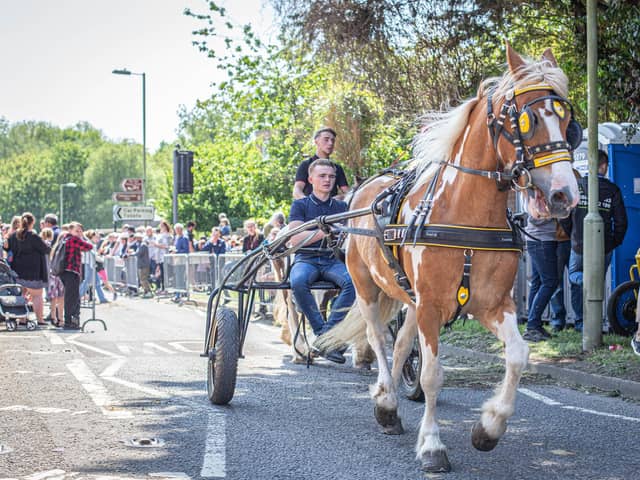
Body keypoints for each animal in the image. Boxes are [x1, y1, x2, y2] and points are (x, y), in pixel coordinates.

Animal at [318, 42, 584, 472]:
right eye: (526, 120)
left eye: (566, 119)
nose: (565, 194)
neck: (464, 211)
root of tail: (365, 187)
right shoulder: (431, 307)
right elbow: (432, 375)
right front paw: (432, 445)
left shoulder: (492, 305)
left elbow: (518, 355)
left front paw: (489, 427)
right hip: (366, 286)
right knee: (377, 337)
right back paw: (386, 397)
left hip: (410, 297)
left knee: (399, 343)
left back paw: (390, 406)